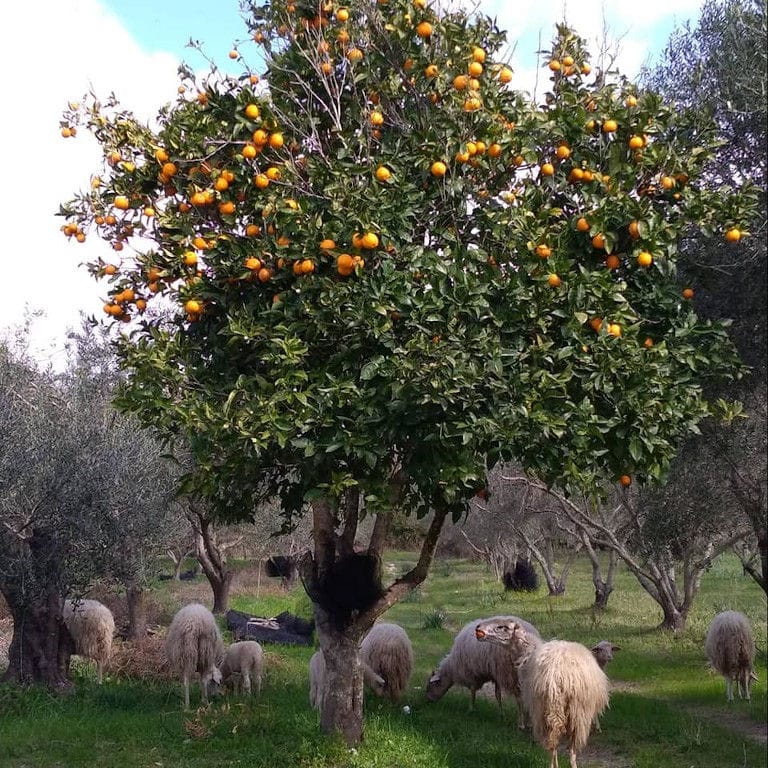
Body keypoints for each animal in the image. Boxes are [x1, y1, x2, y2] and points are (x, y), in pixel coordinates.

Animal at [476, 616, 608, 768]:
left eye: (503, 627)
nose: (478, 628)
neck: (527, 653)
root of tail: (563, 676)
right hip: (578, 713)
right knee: (571, 748)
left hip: (548, 708)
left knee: (553, 742)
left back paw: (552, 765)